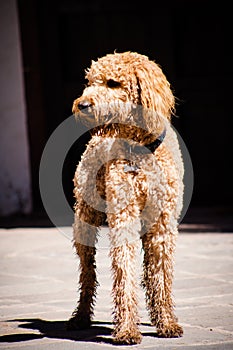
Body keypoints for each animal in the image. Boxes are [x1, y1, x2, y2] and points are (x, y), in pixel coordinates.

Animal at [67, 52, 184, 344]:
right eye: (90, 81)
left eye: (113, 83)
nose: (82, 104)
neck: (140, 148)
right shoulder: (124, 216)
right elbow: (124, 274)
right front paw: (127, 329)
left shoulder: (162, 224)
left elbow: (160, 275)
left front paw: (166, 322)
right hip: (84, 220)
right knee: (87, 273)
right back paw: (80, 317)